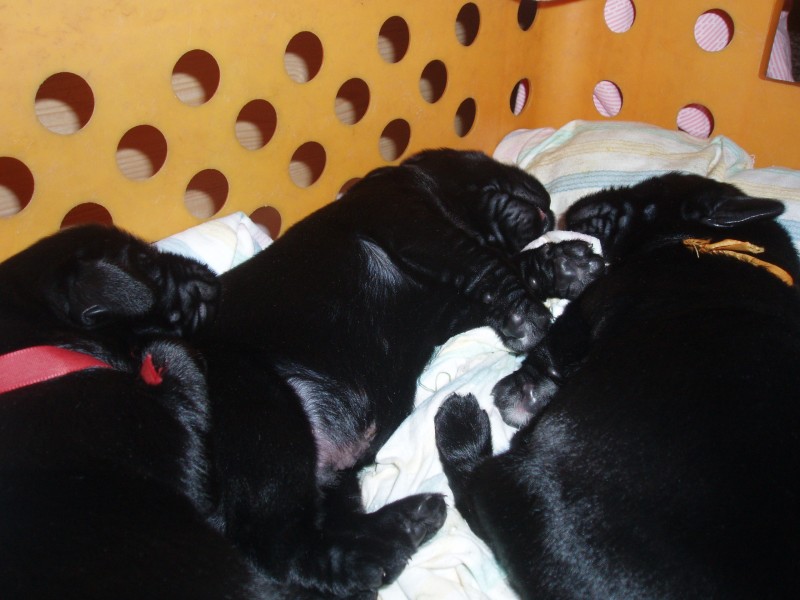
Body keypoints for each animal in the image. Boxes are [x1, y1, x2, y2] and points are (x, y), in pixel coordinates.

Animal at [190, 149, 603, 597]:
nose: (550, 212)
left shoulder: (448, 308)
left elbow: (511, 267)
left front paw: (567, 266)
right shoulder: (412, 221)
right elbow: (490, 266)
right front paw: (533, 310)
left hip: (330, 478)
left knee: (318, 535)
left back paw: (394, 537)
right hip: (264, 414)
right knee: (278, 544)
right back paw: (393, 537)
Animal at [435, 173, 800, 599]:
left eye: (651, 190)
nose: (573, 206)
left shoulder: (592, 305)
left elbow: (552, 346)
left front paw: (518, 394)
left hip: (517, 487)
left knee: (473, 491)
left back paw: (461, 427)